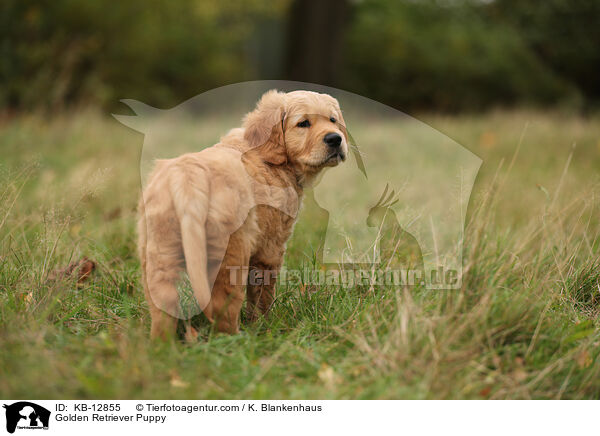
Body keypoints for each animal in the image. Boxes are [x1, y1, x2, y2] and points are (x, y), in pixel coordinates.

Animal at [138, 90, 350, 338]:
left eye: (333, 120)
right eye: (303, 123)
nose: (335, 138)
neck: (271, 158)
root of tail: (188, 181)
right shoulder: (271, 247)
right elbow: (262, 293)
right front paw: (264, 324)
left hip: (159, 252)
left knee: (163, 303)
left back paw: (162, 343)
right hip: (230, 253)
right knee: (223, 304)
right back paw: (237, 338)